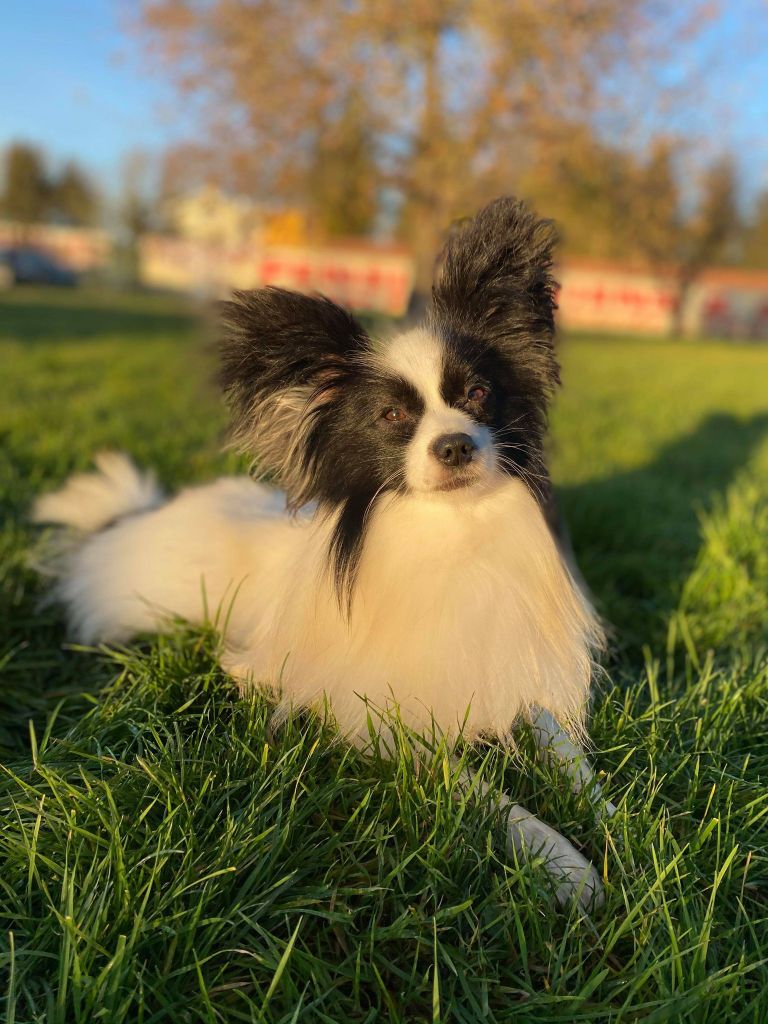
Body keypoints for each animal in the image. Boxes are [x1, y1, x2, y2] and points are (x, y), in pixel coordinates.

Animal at [33, 195, 618, 909]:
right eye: (393, 418)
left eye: (478, 395)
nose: (454, 446)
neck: (452, 534)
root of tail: (135, 514)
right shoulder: (384, 722)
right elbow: (486, 793)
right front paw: (561, 861)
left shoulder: (514, 668)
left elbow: (566, 752)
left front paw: (617, 818)